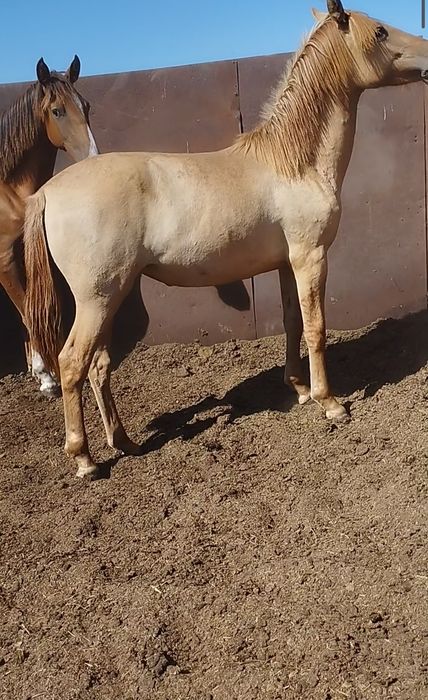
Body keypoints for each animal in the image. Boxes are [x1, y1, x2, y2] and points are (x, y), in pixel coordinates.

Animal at [0, 55, 98, 395]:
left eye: (86, 105)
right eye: (57, 111)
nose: (93, 156)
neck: (9, 191)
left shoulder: (25, 254)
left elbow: (30, 309)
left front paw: (36, 368)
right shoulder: (5, 260)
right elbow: (28, 313)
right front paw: (45, 376)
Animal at [23, 1, 428, 478]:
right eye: (380, 31)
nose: (427, 55)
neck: (294, 162)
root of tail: (48, 192)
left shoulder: (286, 264)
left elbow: (292, 322)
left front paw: (299, 389)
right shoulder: (310, 257)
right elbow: (316, 327)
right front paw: (329, 403)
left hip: (109, 297)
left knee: (99, 366)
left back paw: (124, 442)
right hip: (97, 299)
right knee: (71, 364)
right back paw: (85, 459)